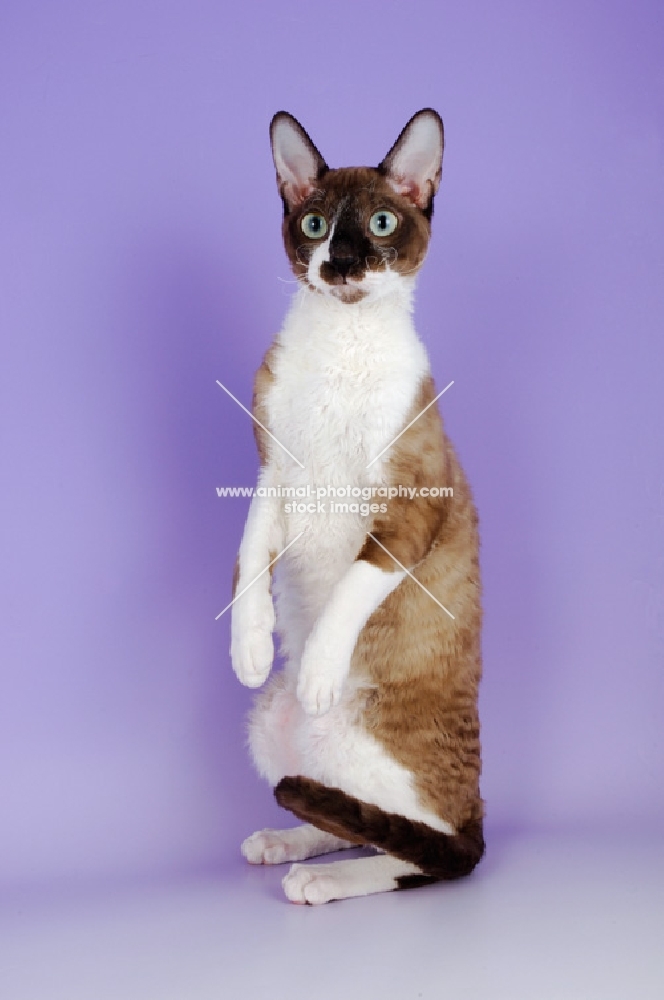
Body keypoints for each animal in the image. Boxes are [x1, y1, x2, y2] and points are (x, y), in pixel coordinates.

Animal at [228, 109, 482, 908]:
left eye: (379, 224)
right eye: (314, 225)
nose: (339, 265)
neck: (341, 343)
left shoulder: (410, 510)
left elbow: (354, 585)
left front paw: (318, 665)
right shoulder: (274, 473)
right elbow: (248, 554)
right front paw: (249, 643)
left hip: (376, 758)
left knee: (436, 851)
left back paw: (323, 879)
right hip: (269, 722)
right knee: (341, 809)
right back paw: (285, 841)